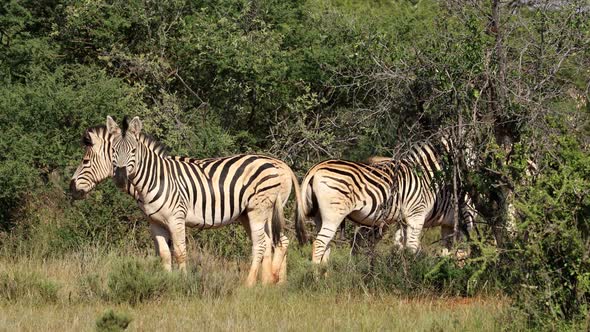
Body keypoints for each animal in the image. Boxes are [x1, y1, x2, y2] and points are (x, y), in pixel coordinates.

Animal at [72, 116, 306, 286]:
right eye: (113, 153)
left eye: (85, 161)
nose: (71, 188)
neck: (154, 177)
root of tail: (280, 164)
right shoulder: (155, 222)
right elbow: (165, 254)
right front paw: (166, 282)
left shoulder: (176, 218)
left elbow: (180, 252)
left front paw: (183, 284)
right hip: (250, 214)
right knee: (275, 242)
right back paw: (271, 282)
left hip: (259, 209)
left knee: (262, 244)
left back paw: (251, 284)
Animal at [296, 136, 476, 264]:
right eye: (472, 156)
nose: (472, 181)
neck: (426, 175)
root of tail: (315, 168)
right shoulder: (417, 216)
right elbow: (413, 247)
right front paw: (412, 272)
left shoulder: (411, 220)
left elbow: (406, 247)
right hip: (334, 215)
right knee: (321, 244)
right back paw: (317, 280)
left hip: (319, 216)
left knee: (327, 245)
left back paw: (326, 276)